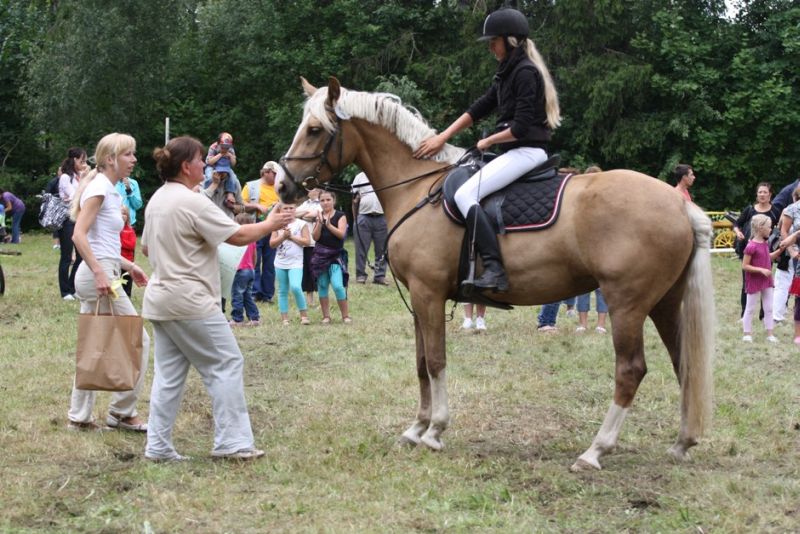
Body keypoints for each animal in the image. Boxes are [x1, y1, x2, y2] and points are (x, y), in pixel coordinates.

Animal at [278, 77, 716, 472]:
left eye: (314, 130)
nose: (284, 186)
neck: (417, 189)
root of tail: (678, 203)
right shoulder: (420, 300)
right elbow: (421, 363)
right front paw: (416, 429)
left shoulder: (427, 293)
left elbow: (435, 361)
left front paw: (435, 431)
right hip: (664, 303)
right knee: (684, 363)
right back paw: (682, 442)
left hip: (627, 305)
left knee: (630, 371)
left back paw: (595, 451)